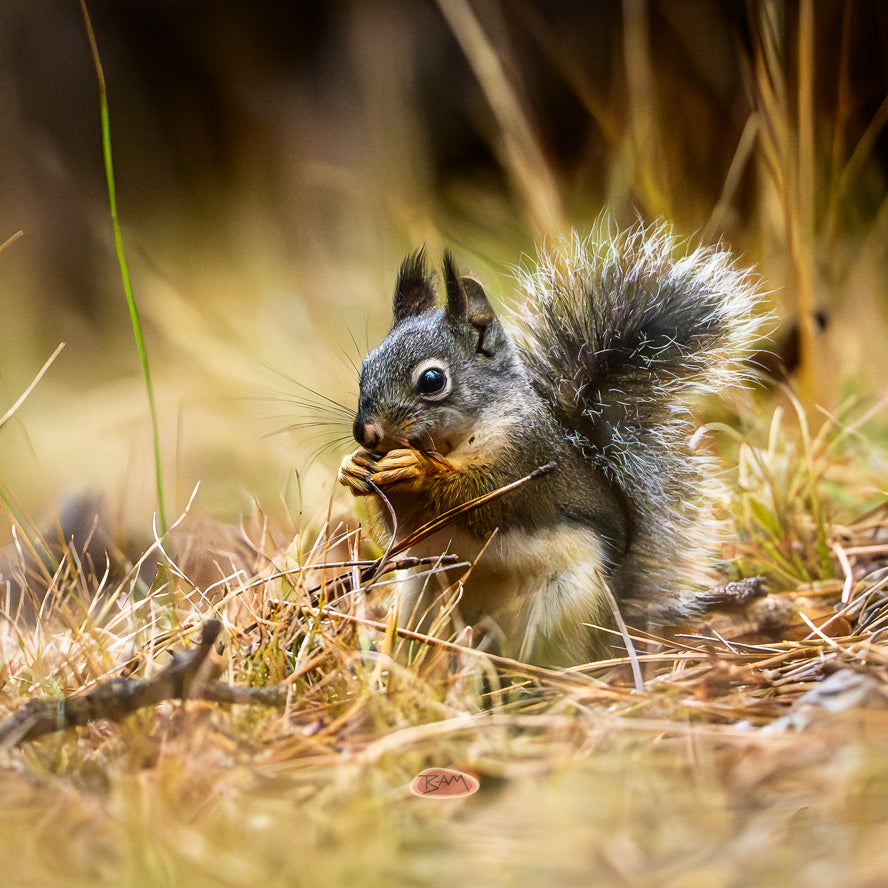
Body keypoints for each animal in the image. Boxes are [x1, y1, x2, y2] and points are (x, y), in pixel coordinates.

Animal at [337, 222, 768, 666]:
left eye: (432, 380)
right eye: (365, 369)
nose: (366, 433)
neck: (456, 439)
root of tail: (616, 624)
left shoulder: (527, 459)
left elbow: (483, 500)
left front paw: (418, 469)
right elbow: (402, 525)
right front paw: (353, 467)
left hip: (560, 607)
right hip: (421, 593)